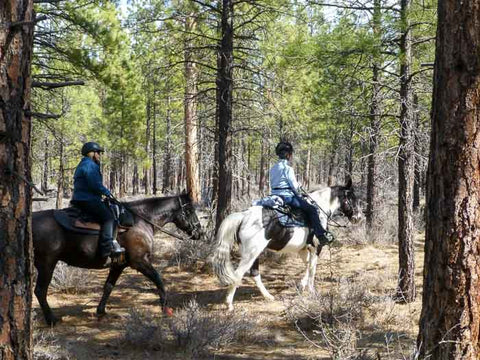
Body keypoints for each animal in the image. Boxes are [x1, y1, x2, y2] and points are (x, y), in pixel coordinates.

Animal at [31, 194, 201, 326]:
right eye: (189, 210)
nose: (199, 232)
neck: (140, 221)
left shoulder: (118, 265)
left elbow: (108, 286)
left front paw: (100, 311)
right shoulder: (139, 261)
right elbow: (158, 279)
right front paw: (165, 307)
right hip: (47, 264)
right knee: (40, 291)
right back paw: (51, 319)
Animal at [212, 181, 362, 310]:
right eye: (353, 198)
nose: (359, 217)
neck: (320, 210)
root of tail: (244, 215)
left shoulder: (303, 249)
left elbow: (307, 265)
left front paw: (302, 285)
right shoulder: (316, 248)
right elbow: (312, 269)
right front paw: (312, 291)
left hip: (252, 253)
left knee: (254, 273)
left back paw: (268, 296)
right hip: (251, 253)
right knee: (238, 274)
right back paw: (229, 304)